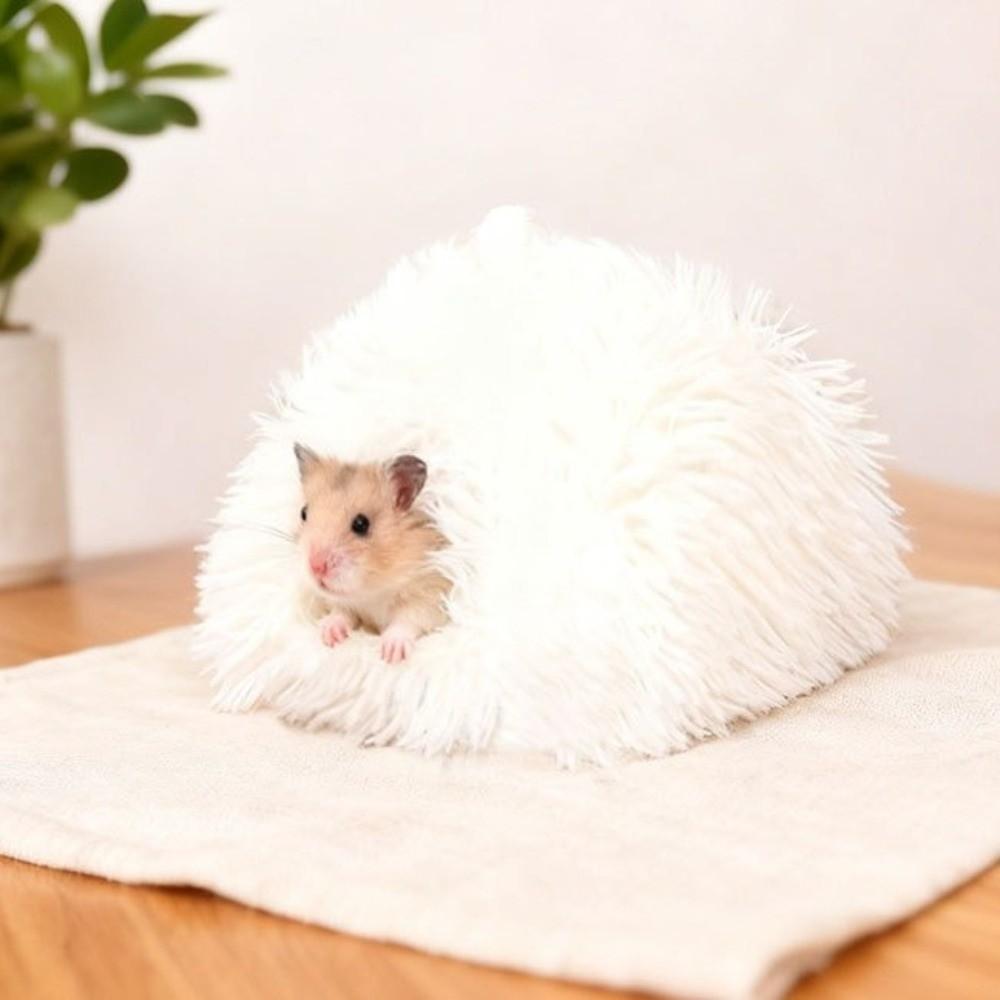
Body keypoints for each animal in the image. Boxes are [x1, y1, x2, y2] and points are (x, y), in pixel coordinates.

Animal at [294, 443, 451, 663]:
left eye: (361, 524)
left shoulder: (431, 592)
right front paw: (329, 634)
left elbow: (408, 619)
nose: (315, 567)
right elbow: (341, 612)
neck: (373, 588)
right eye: (304, 513)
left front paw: (391, 654)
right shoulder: (345, 602)